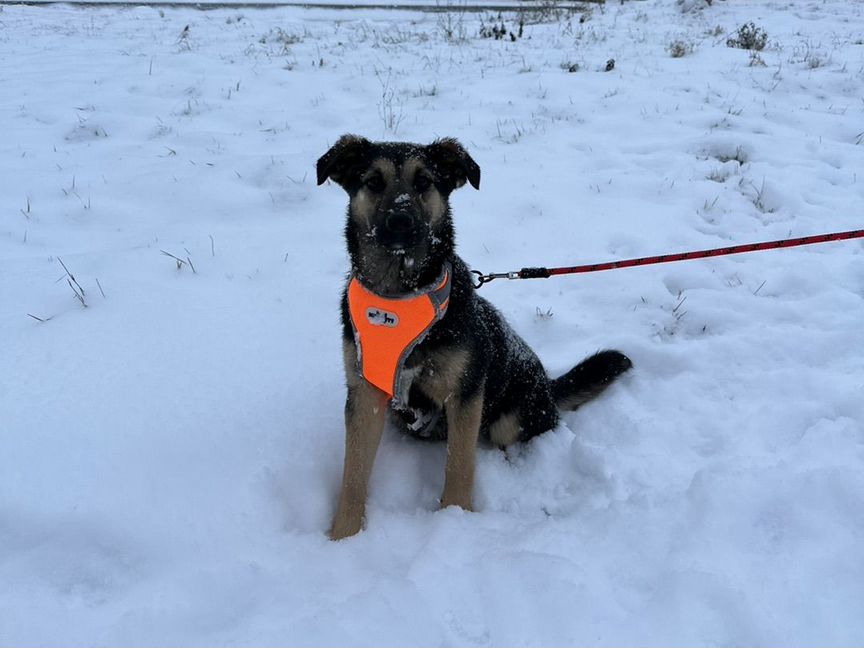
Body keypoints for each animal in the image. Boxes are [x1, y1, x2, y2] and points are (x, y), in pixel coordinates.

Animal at [316, 134, 628, 540]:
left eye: (424, 181)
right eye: (373, 182)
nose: (401, 222)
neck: (401, 298)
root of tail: (548, 385)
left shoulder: (465, 393)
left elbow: (460, 465)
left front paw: (455, 518)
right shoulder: (365, 392)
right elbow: (353, 473)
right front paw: (343, 536)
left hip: (510, 418)